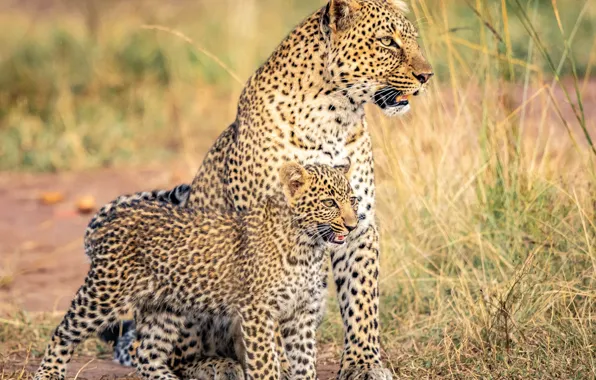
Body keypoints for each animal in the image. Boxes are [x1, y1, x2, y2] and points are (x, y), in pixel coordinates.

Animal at [36, 161, 358, 380]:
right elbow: (266, 364)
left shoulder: (301, 314)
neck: (309, 248)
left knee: (147, 354)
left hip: (164, 307)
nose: (354, 225)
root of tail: (116, 214)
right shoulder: (258, 312)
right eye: (329, 202)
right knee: (63, 332)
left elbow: (305, 364)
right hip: (104, 292)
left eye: (352, 200)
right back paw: (48, 373)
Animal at [82, 1, 434, 378]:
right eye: (387, 42)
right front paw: (278, 367)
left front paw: (363, 364)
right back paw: (219, 366)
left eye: (412, 39)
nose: (427, 76)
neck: (335, 118)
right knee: (171, 355)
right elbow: (269, 322)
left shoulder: (360, 222)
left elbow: (362, 298)